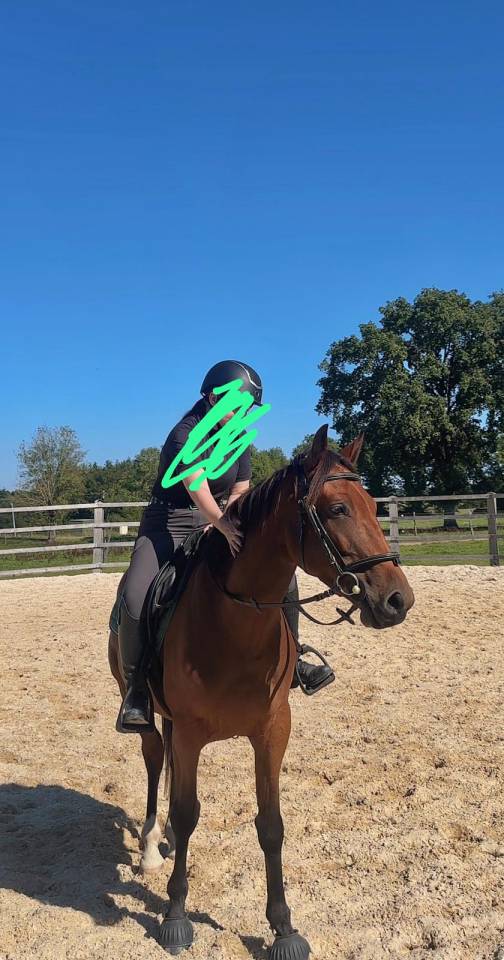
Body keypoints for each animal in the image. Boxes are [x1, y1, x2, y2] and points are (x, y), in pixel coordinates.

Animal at [108, 426, 415, 958]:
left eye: (375, 507)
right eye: (338, 508)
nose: (398, 599)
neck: (234, 622)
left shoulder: (273, 730)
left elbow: (271, 825)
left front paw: (283, 928)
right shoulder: (190, 733)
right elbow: (186, 813)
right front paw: (175, 915)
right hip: (149, 717)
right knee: (153, 762)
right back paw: (150, 847)